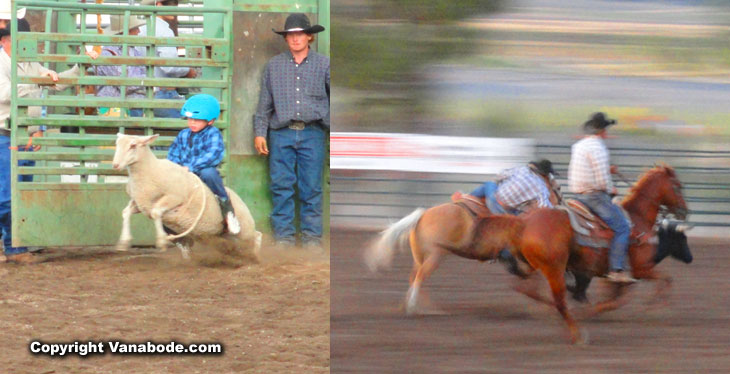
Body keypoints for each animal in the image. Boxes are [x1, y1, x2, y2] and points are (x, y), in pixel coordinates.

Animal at [111, 133, 262, 262]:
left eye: (133, 145)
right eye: (117, 144)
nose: (115, 165)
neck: (151, 170)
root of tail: (241, 201)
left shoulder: (174, 197)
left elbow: (156, 213)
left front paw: (161, 241)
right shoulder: (141, 203)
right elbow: (126, 212)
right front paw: (124, 242)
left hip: (244, 228)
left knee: (257, 236)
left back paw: (255, 257)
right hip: (224, 233)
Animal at [516, 165, 684, 344]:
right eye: (678, 186)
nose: (684, 211)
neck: (638, 220)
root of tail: (527, 223)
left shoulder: (619, 276)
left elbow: (617, 298)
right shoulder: (641, 270)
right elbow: (663, 281)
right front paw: (655, 308)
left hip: (537, 265)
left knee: (527, 289)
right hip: (554, 269)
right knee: (556, 299)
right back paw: (576, 331)